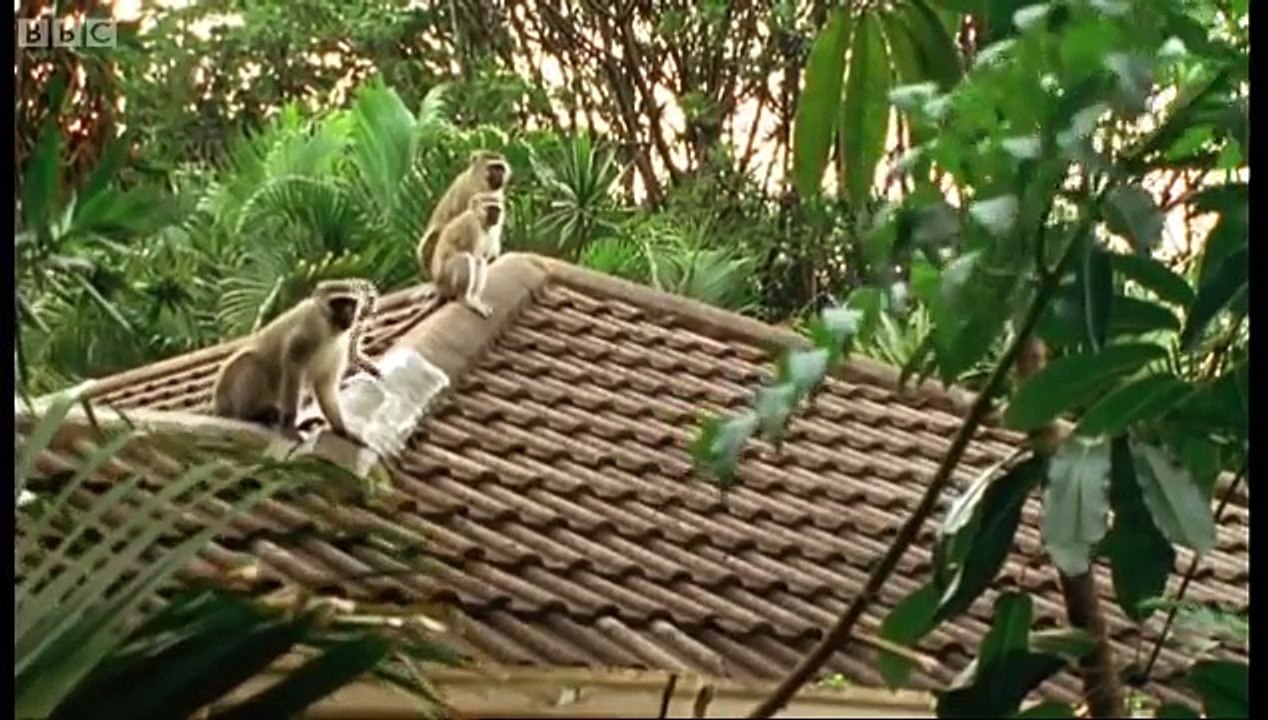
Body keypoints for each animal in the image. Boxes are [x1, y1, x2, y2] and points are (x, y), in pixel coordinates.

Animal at [210, 280, 379, 441]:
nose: (348, 313)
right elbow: (293, 365)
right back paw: (253, 414)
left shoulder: (340, 346)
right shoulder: (308, 329)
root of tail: (218, 406)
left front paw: (341, 430)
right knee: (249, 361)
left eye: (350, 303)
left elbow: (324, 385)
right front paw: (290, 425)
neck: (328, 327)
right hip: (228, 397)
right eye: (338, 303)